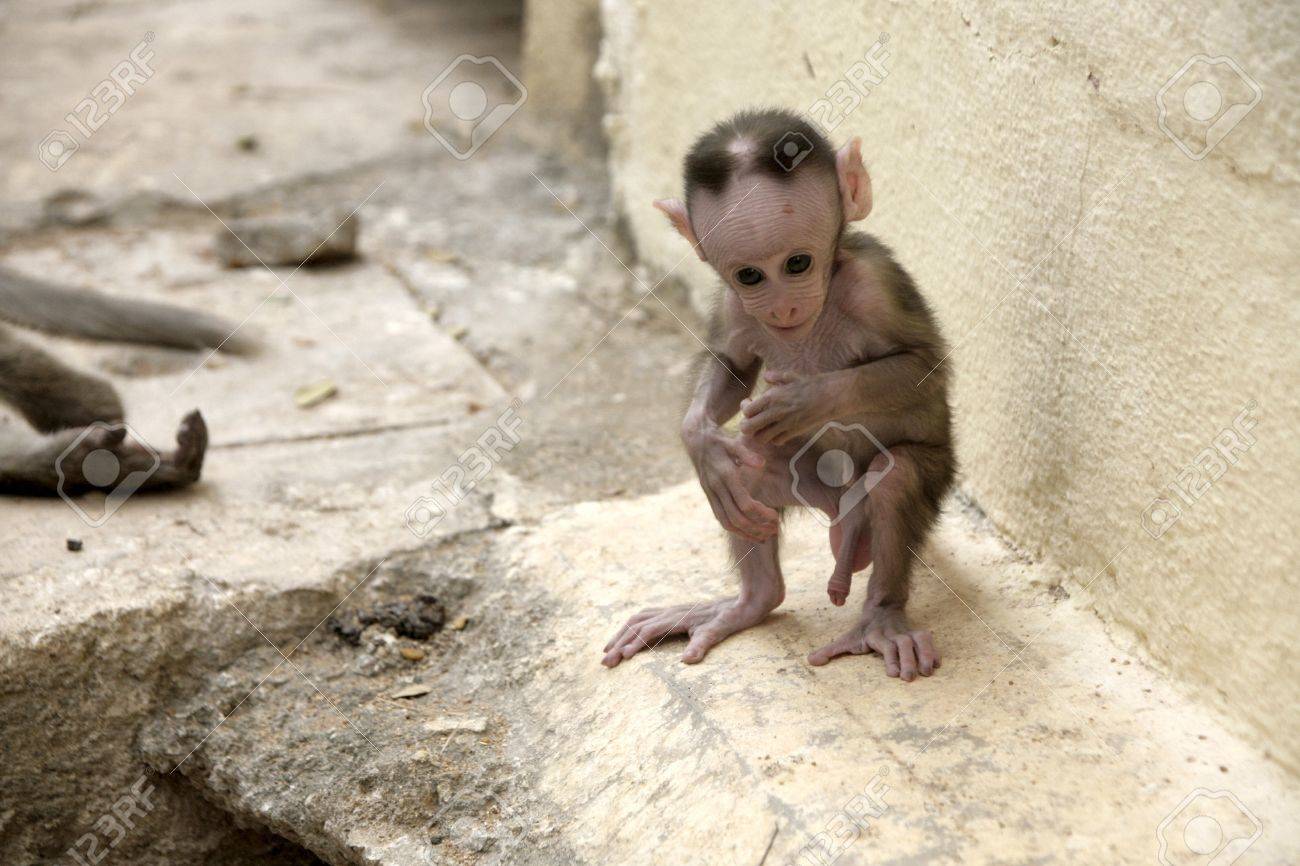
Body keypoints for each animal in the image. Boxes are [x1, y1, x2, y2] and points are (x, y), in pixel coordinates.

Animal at [603, 109, 955, 682]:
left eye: (798, 263)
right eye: (750, 274)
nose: (783, 307)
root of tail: (840, 506)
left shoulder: (877, 281)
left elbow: (923, 365)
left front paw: (807, 399)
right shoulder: (733, 301)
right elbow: (732, 365)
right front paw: (699, 439)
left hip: (927, 474)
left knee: (897, 477)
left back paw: (881, 619)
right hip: (806, 477)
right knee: (743, 479)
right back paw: (749, 602)